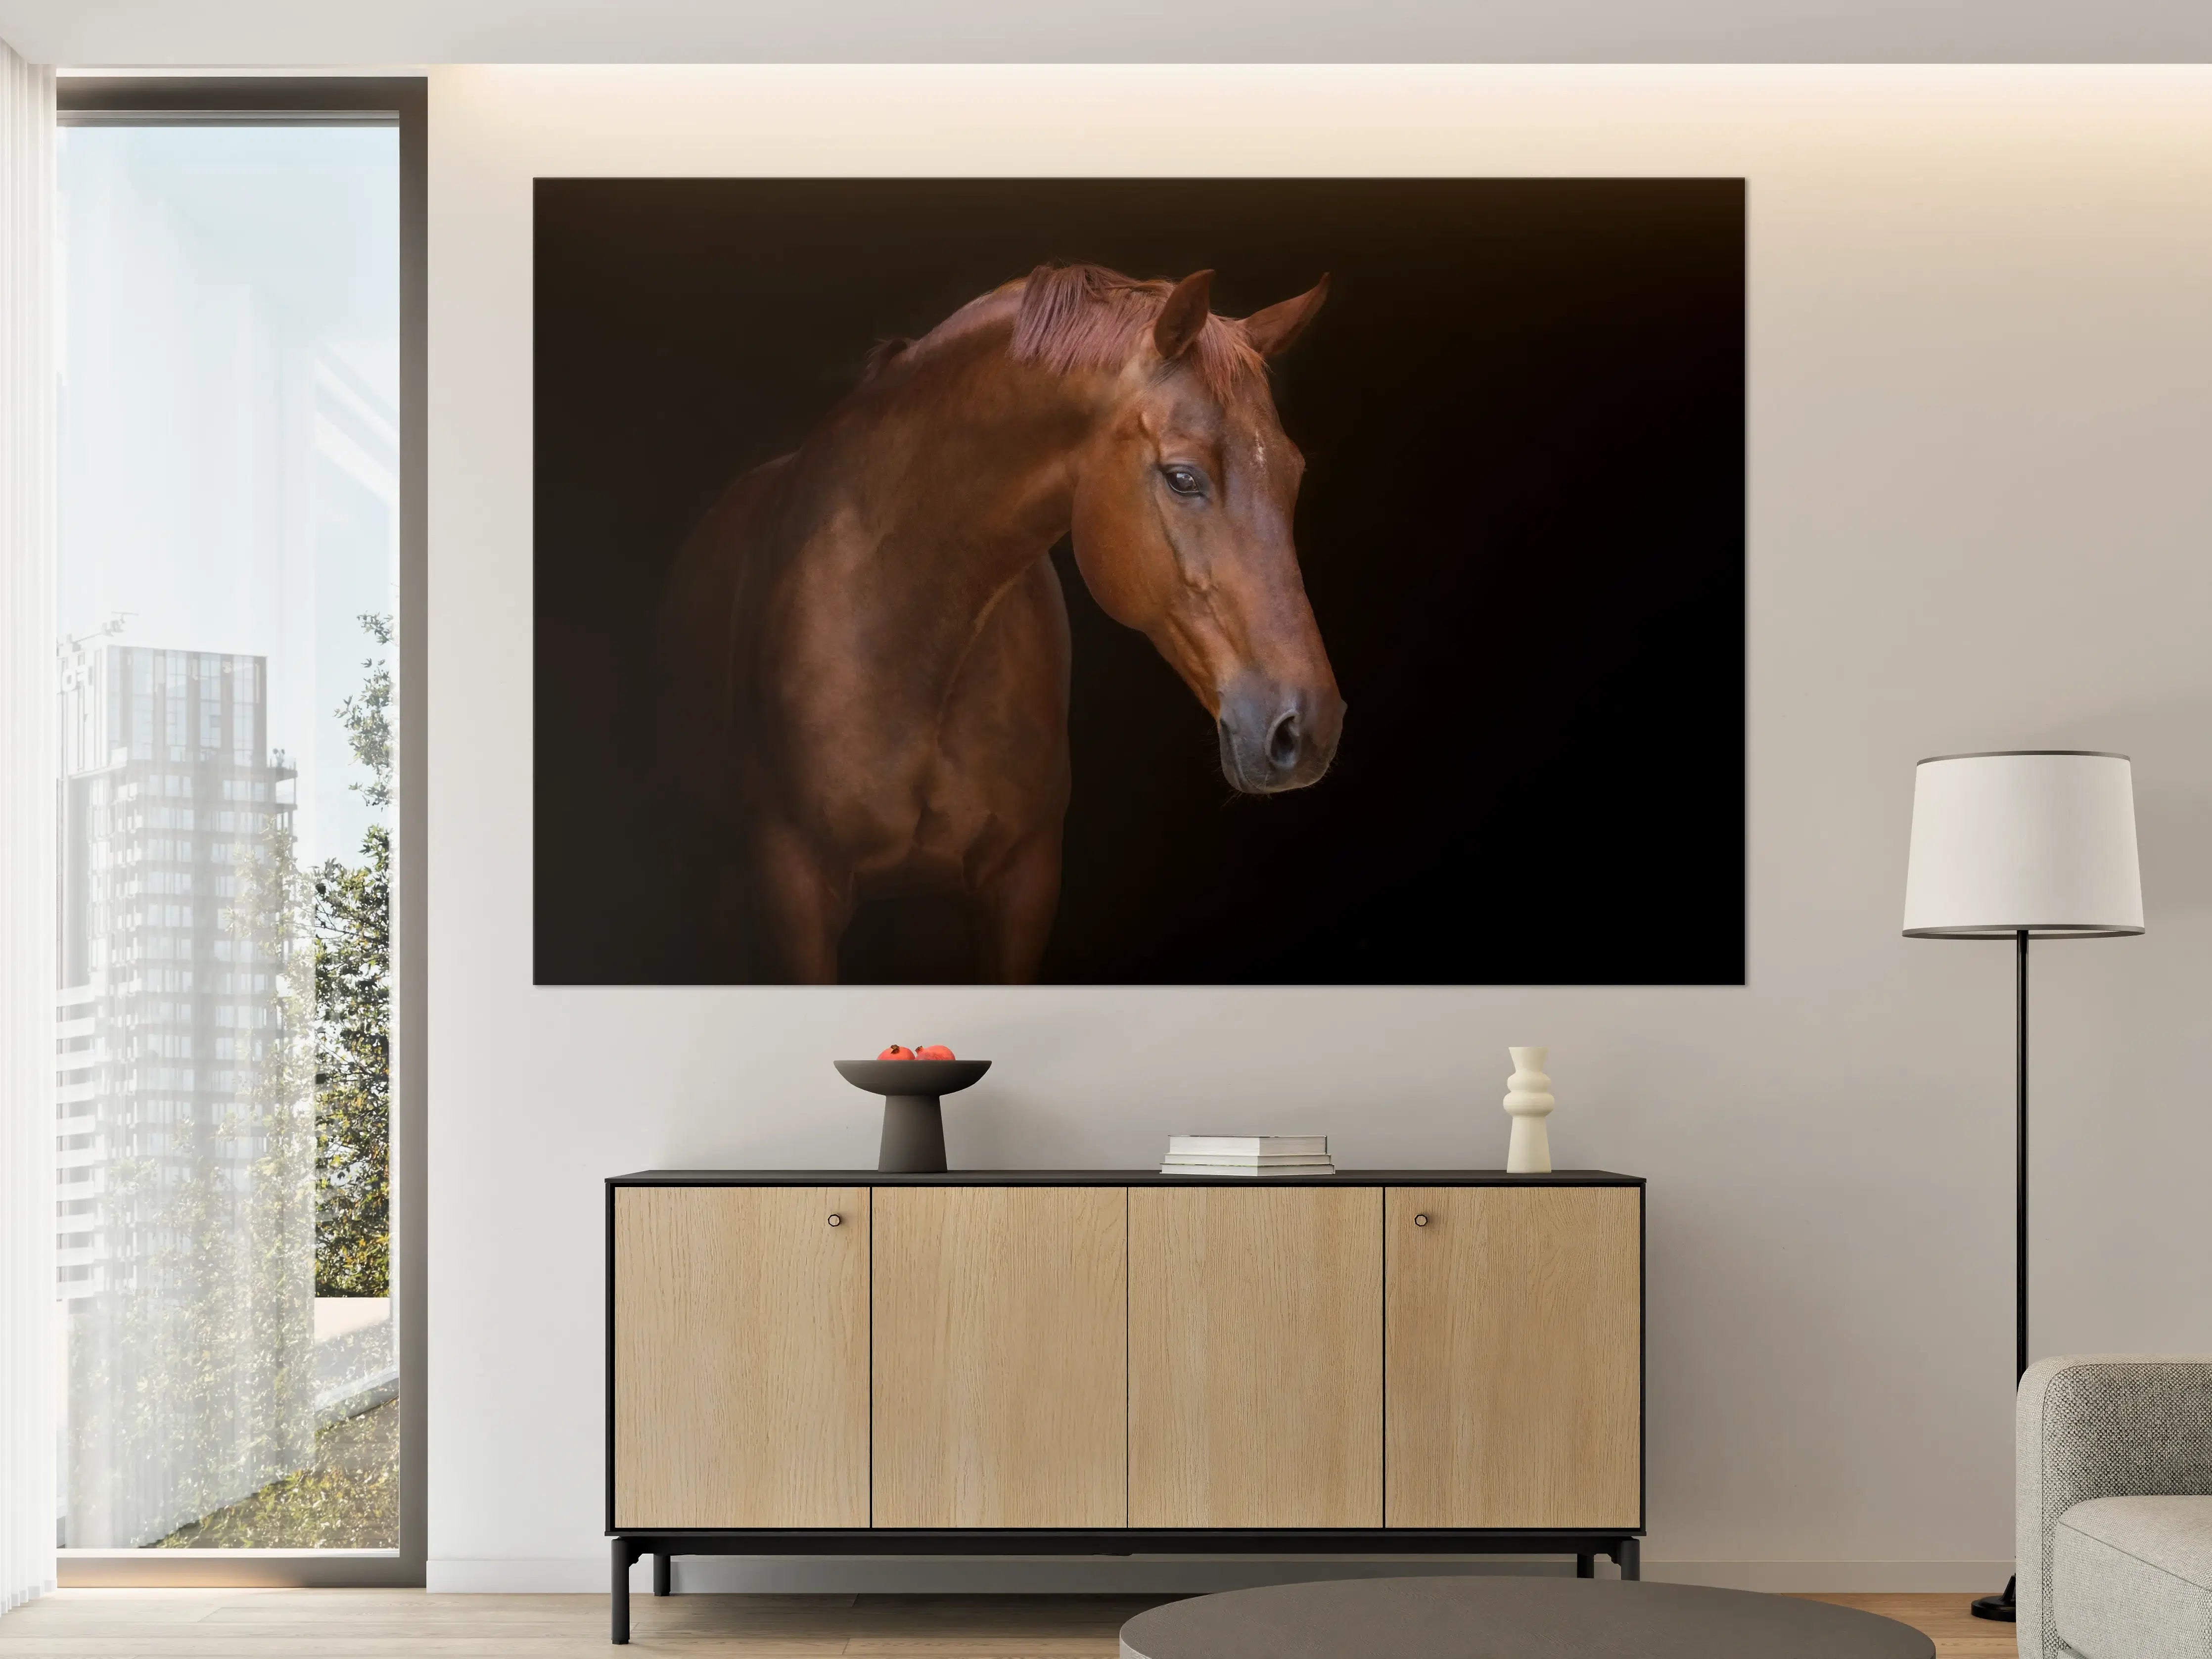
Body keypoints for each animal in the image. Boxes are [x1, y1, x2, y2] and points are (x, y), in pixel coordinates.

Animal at [657, 263, 1344, 984]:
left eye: (1294, 473)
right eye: (1182, 477)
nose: (1308, 728)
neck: (912, 628)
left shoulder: (1021, 885)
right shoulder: (794, 890)